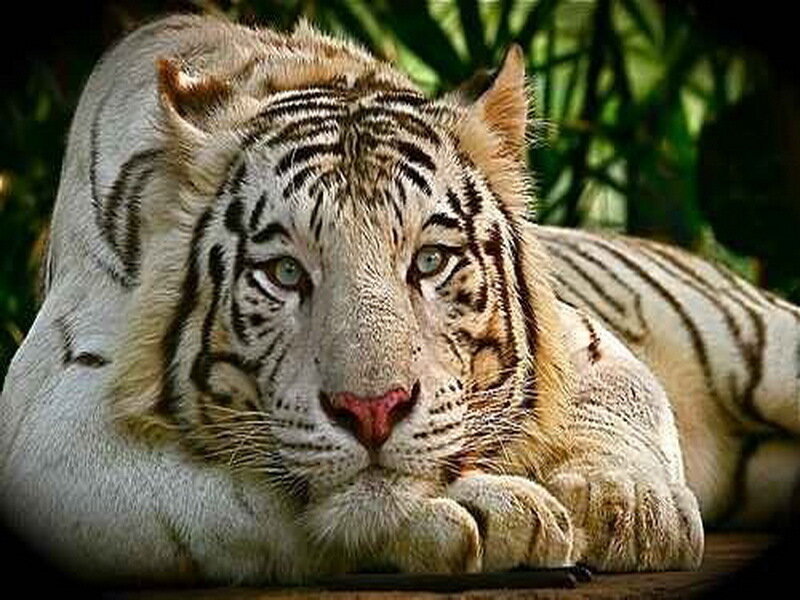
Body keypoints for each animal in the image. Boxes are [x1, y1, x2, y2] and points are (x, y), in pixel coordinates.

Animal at [0, 14, 797, 586]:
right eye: (284, 273)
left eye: (431, 261)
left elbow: (622, 407)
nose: (373, 411)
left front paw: (629, 511)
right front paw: (470, 508)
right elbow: (249, 490)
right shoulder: (48, 428)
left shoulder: (588, 341)